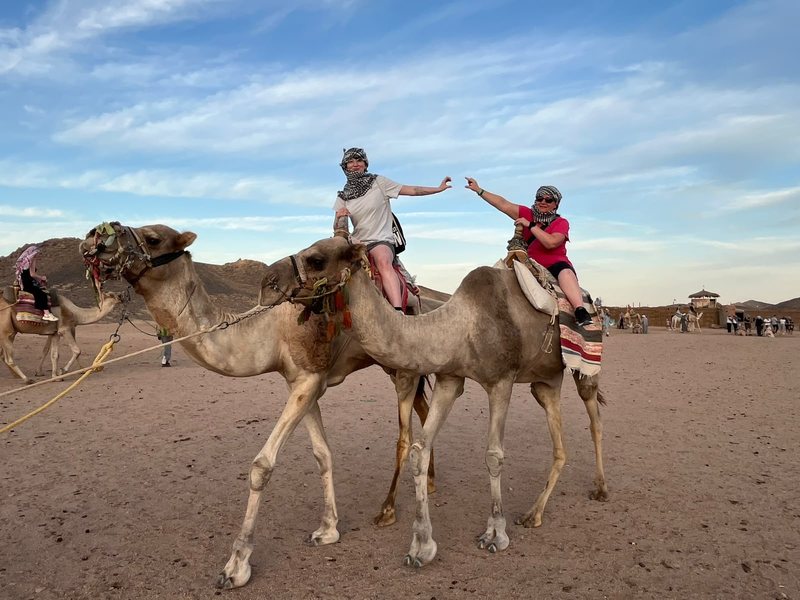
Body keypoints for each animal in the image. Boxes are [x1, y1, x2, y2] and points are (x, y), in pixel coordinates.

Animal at [79, 222, 443, 589]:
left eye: (153, 238)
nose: (94, 236)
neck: (270, 329)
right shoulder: (302, 382)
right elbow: (322, 454)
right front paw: (328, 529)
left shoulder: (309, 379)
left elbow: (262, 465)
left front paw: (236, 565)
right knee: (424, 412)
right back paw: (430, 481)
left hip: (401, 366)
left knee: (404, 436)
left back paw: (389, 510)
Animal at [259, 236, 608, 567]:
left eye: (316, 259)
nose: (267, 281)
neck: (460, 326)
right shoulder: (449, 379)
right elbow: (419, 449)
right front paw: (421, 546)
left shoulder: (501, 381)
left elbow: (494, 455)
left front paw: (495, 533)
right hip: (544, 381)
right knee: (559, 440)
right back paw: (533, 514)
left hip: (584, 370)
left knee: (594, 419)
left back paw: (600, 488)